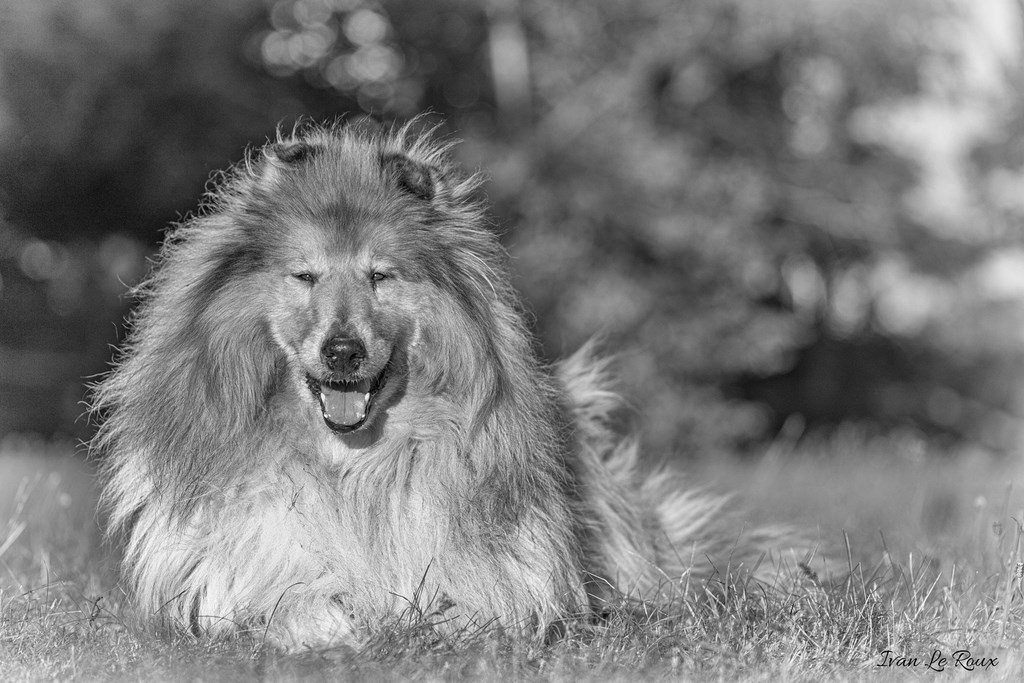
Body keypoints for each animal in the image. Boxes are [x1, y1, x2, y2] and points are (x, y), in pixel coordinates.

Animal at [92, 118, 802, 651]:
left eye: (381, 275)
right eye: (305, 275)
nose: (343, 352)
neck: (350, 467)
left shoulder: (503, 572)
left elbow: (475, 607)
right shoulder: (240, 567)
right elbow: (291, 604)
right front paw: (338, 628)